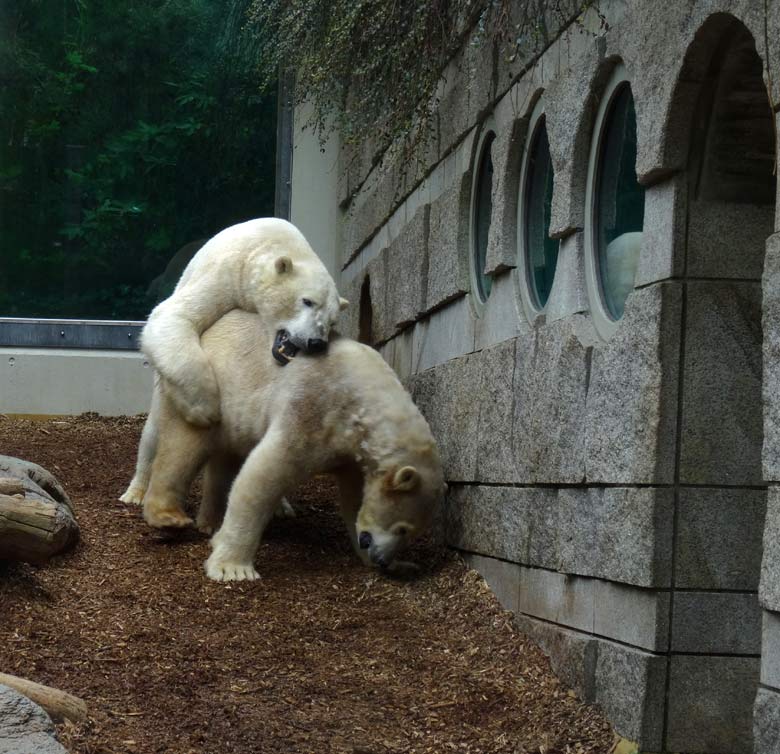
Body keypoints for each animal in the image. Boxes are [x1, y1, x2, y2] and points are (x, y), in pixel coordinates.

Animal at [136, 308, 444, 580]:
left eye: (411, 533)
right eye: (403, 528)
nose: (382, 559)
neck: (363, 402)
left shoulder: (352, 454)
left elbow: (355, 501)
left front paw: (401, 566)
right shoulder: (312, 408)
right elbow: (264, 473)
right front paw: (232, 568)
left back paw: (209, 521)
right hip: (205, 391)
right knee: (183, 448)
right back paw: (168, 516)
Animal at [140, 219, 348, 428]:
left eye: (332, 322)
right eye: (307, 301)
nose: (316, 343)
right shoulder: (227, 271)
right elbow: (173, 314)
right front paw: (206, 409)